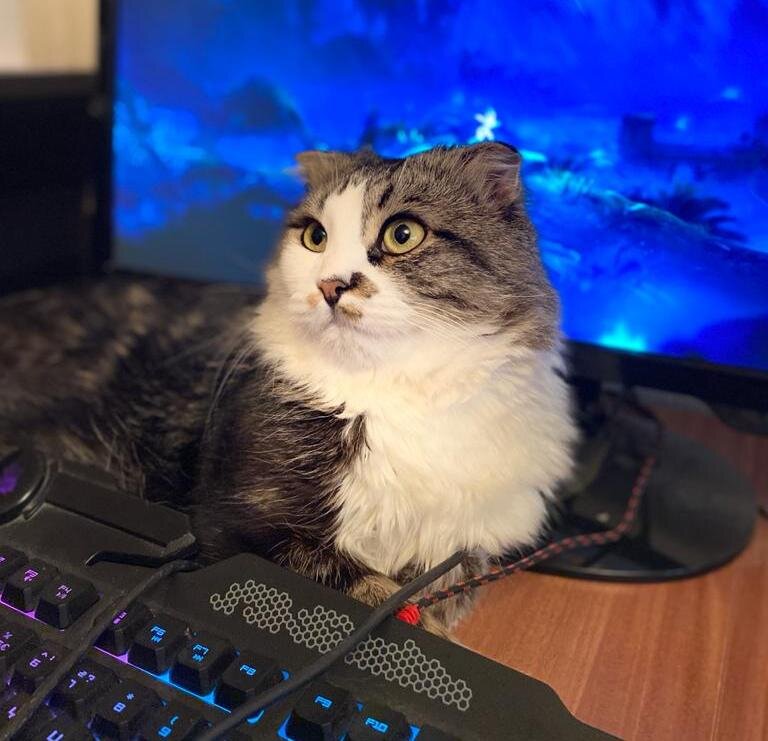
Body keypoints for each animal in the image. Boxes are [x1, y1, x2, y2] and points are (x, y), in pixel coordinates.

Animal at [0, 142, 576, 633]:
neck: (397, 397)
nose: (330, 284)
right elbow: (357, 584)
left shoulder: (479, 537)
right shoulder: (234, 523)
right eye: (315, 237)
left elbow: (453, 579)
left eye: (402, 234)